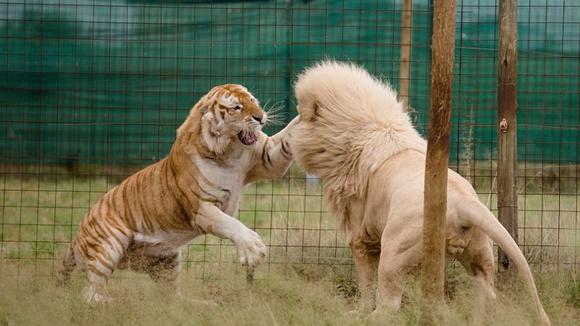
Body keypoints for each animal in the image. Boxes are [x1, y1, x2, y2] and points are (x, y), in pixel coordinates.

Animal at [57, 84, 300, 304]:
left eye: (252, 101)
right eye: (236, 107)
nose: (260, 117)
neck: (231, 151)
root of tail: (76, 237)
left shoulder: (268, 158)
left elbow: (289, 133)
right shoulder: (202, 208)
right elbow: (232, 225)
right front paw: (253, 250)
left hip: (167, 260)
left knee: (170, 298)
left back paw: (201, 305)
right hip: (109, 245)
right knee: (90, 293)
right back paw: (110, 302)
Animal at [292, 60, 552, 324]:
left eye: (301, 114)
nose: (288, 129)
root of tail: (463, 202)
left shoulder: (360, 236)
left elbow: (365, 282)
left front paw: (359, 310)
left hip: (395, 250)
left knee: (389, 302)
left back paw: (369, 318)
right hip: (480, 254)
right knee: (487, 294)